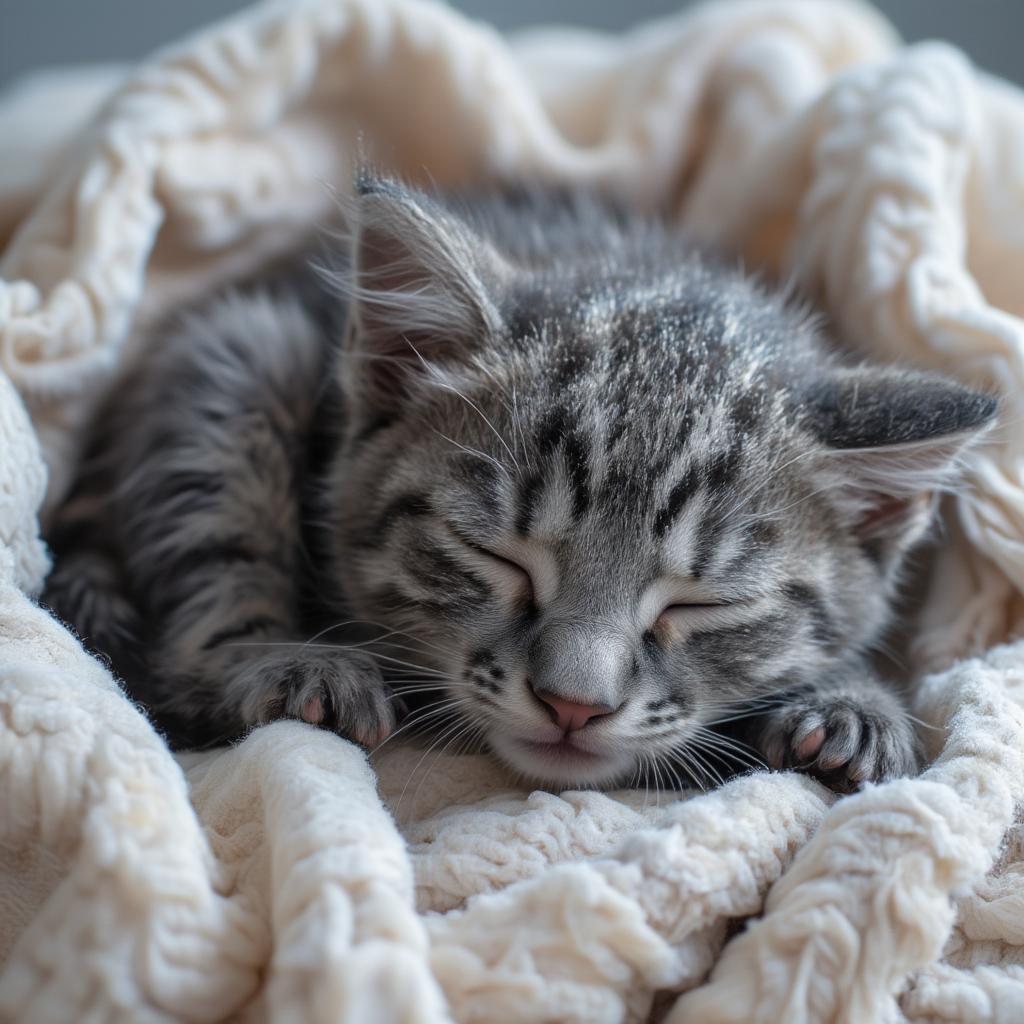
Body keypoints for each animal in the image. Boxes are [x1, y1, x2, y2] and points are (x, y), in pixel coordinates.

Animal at [44, 178, 995, 790]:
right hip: (241, 349)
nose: (574, 705)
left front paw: (854, 703)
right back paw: (280, 663)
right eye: (496, 557)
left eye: (703, 604)